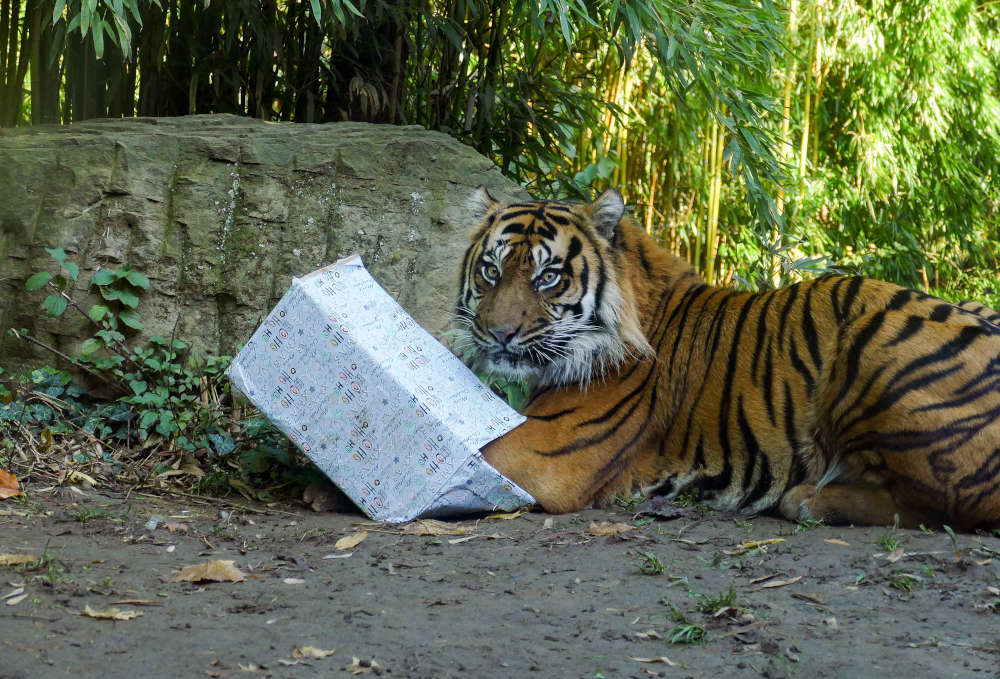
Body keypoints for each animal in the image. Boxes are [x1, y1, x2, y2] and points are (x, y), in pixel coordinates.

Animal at [458, 186, 1000, 532]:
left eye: (547, 277)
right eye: (491, 270)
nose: (499, 333)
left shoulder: (541, 452)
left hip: (872, 338)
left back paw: (808, 499)